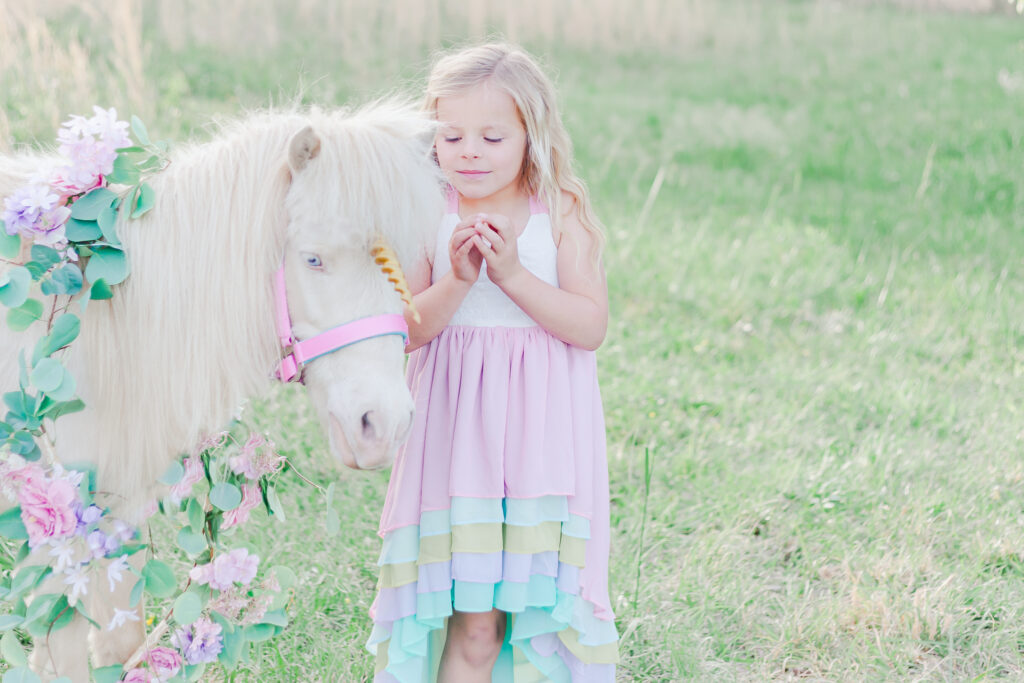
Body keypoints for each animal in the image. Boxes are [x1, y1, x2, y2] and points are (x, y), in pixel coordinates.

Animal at [0, 104, 440, 679]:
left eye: (406, 267)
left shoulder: (116, 517)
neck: (102, 320)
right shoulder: (53, 535)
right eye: (313, 259)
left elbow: (121, 646)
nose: (383, 426)